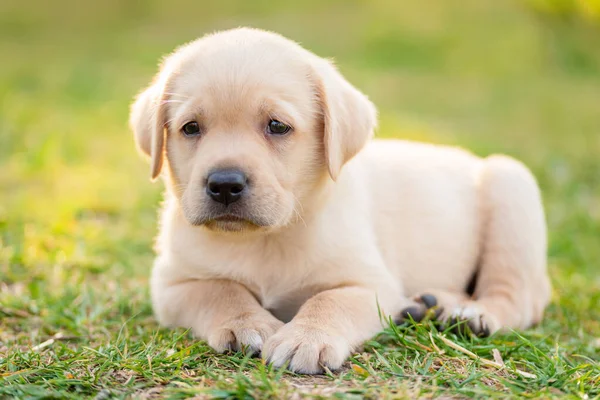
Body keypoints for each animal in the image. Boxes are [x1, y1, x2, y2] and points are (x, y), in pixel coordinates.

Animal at [129, 28, 552, 376]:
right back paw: (428, 303)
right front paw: (247, 323)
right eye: (191, 128)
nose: (224, 184)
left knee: (517, 298)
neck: (267, 239)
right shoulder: (172, 284)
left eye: (277, 126)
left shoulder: (371, 284)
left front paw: (305, 337)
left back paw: (470, 313)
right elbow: (219, 291)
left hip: (512, 185)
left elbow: (329, 300)